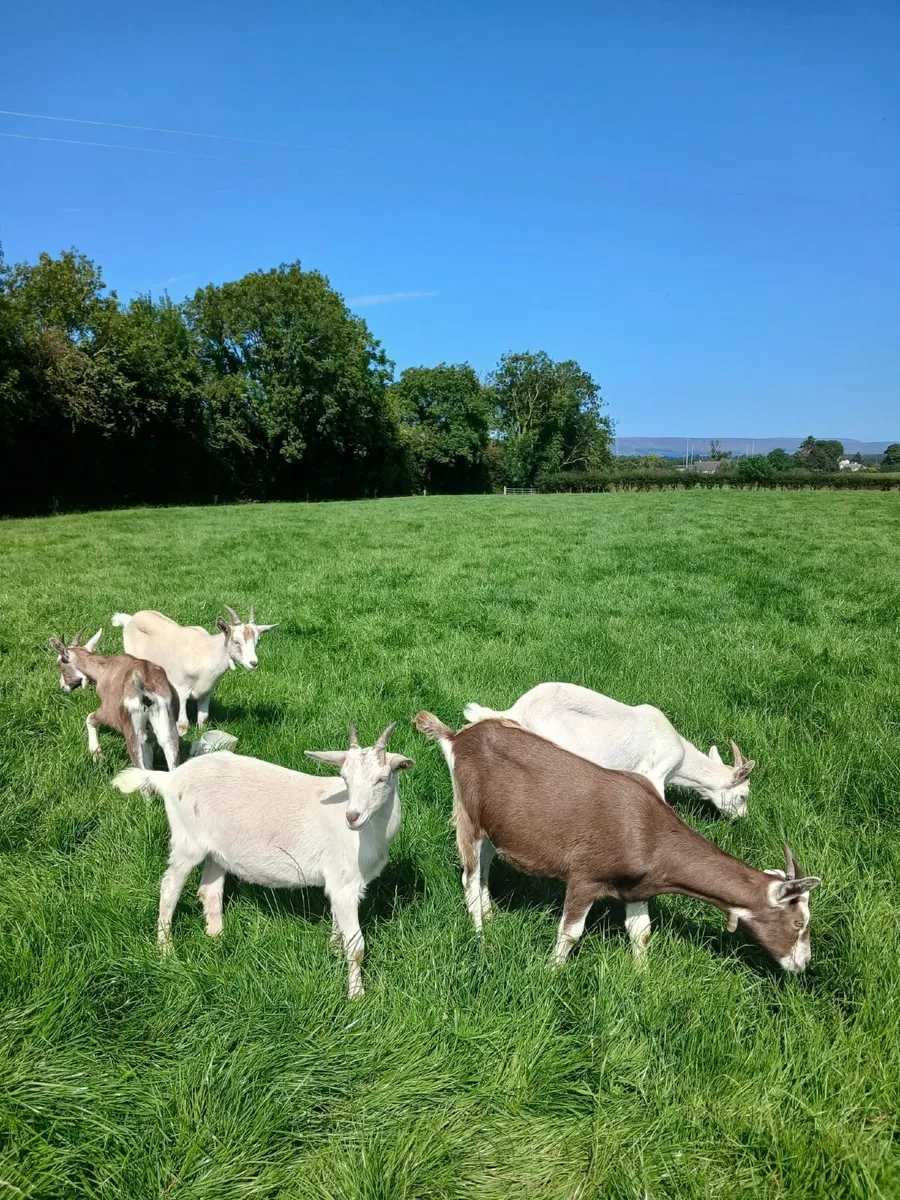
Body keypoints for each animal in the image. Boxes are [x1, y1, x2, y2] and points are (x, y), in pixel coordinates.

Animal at [50, 630, 179, 769]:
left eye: (59, 664)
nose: (63, 687)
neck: (105, 669)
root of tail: (147, 694)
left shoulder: (108, 714)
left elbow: (89, 718)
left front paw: (97, 754)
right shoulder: (149, 738)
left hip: (133, 734)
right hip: (167, 731)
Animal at [111, 606, 276, 735]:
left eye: (257, 642)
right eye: (236, 641)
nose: (253, 663)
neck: (207, 652)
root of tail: (130, 619)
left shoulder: (207, 692)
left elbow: (203, 720)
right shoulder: (181, 690)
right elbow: (183, 724)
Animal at [112, 722, 413, 998]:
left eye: (382, 778)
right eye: (344, 777)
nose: (352, 817)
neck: (371, 833)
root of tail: (169, 779)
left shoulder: (342, 886)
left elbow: (338, 926)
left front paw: (333, 952)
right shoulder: (345, 882)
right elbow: (356, 946)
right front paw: (356, 996)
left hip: (217, 849)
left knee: (209, 889)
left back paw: (217, 938)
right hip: (188, 841)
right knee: (169, 888)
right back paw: (166, 950)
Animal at [414, 713, 819, 973]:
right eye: (799, 922)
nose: (803, 964)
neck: (649, 833)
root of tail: (456, 738)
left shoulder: (638, 888)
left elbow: (641, 934)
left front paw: (642, 978)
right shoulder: (585, 877)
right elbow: (571, 933)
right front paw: (551, 973)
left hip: (492, 826)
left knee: (483, 867)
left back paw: (489, 913)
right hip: (468, 814)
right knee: (469, 875)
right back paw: (480, 934)